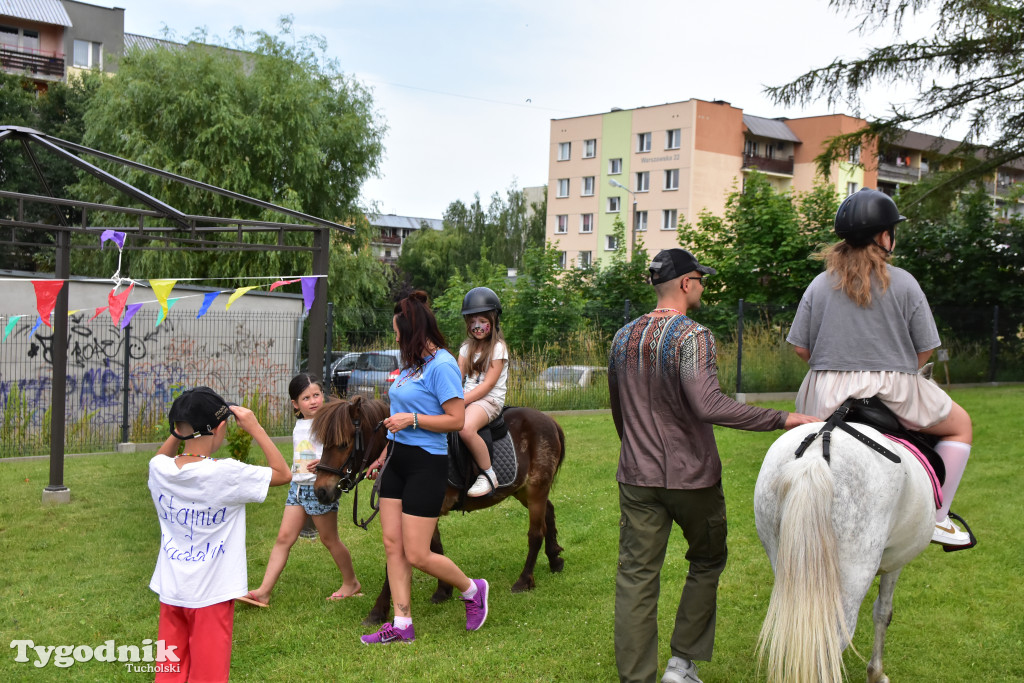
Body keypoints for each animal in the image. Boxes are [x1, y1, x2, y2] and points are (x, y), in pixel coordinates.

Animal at [311, 395, 569, 626]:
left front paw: (377, 612)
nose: (321, 491)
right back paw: (555, 558)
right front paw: (444, 590)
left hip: (535, 489)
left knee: (535, 533)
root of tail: (549, 420)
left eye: (343, 444)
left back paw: (524, 580)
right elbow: (435, 547)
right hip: (524, 491)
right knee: (549, 512)